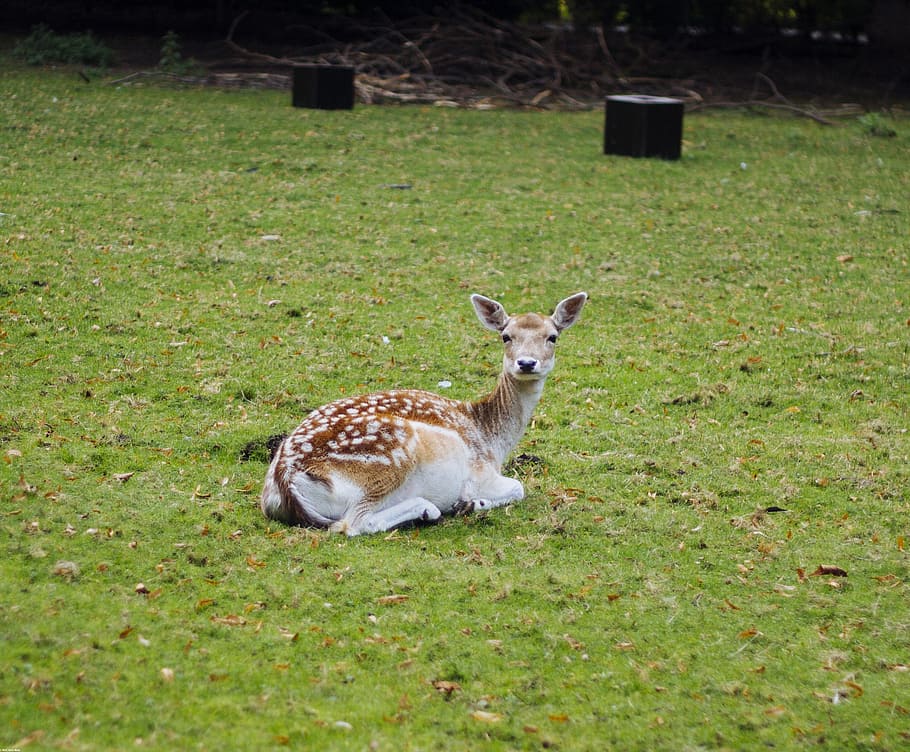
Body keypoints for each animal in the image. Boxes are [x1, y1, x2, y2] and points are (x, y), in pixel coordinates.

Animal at [262, 292, 592, 536]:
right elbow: (518, 487)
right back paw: (428, 509)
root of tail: (286, 482)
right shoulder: (480, 472)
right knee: (353, 523)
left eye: (552, 337)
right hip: (390, 456)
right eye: (506, 336)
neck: (492, 440)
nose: (526, 363)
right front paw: (471, 503)